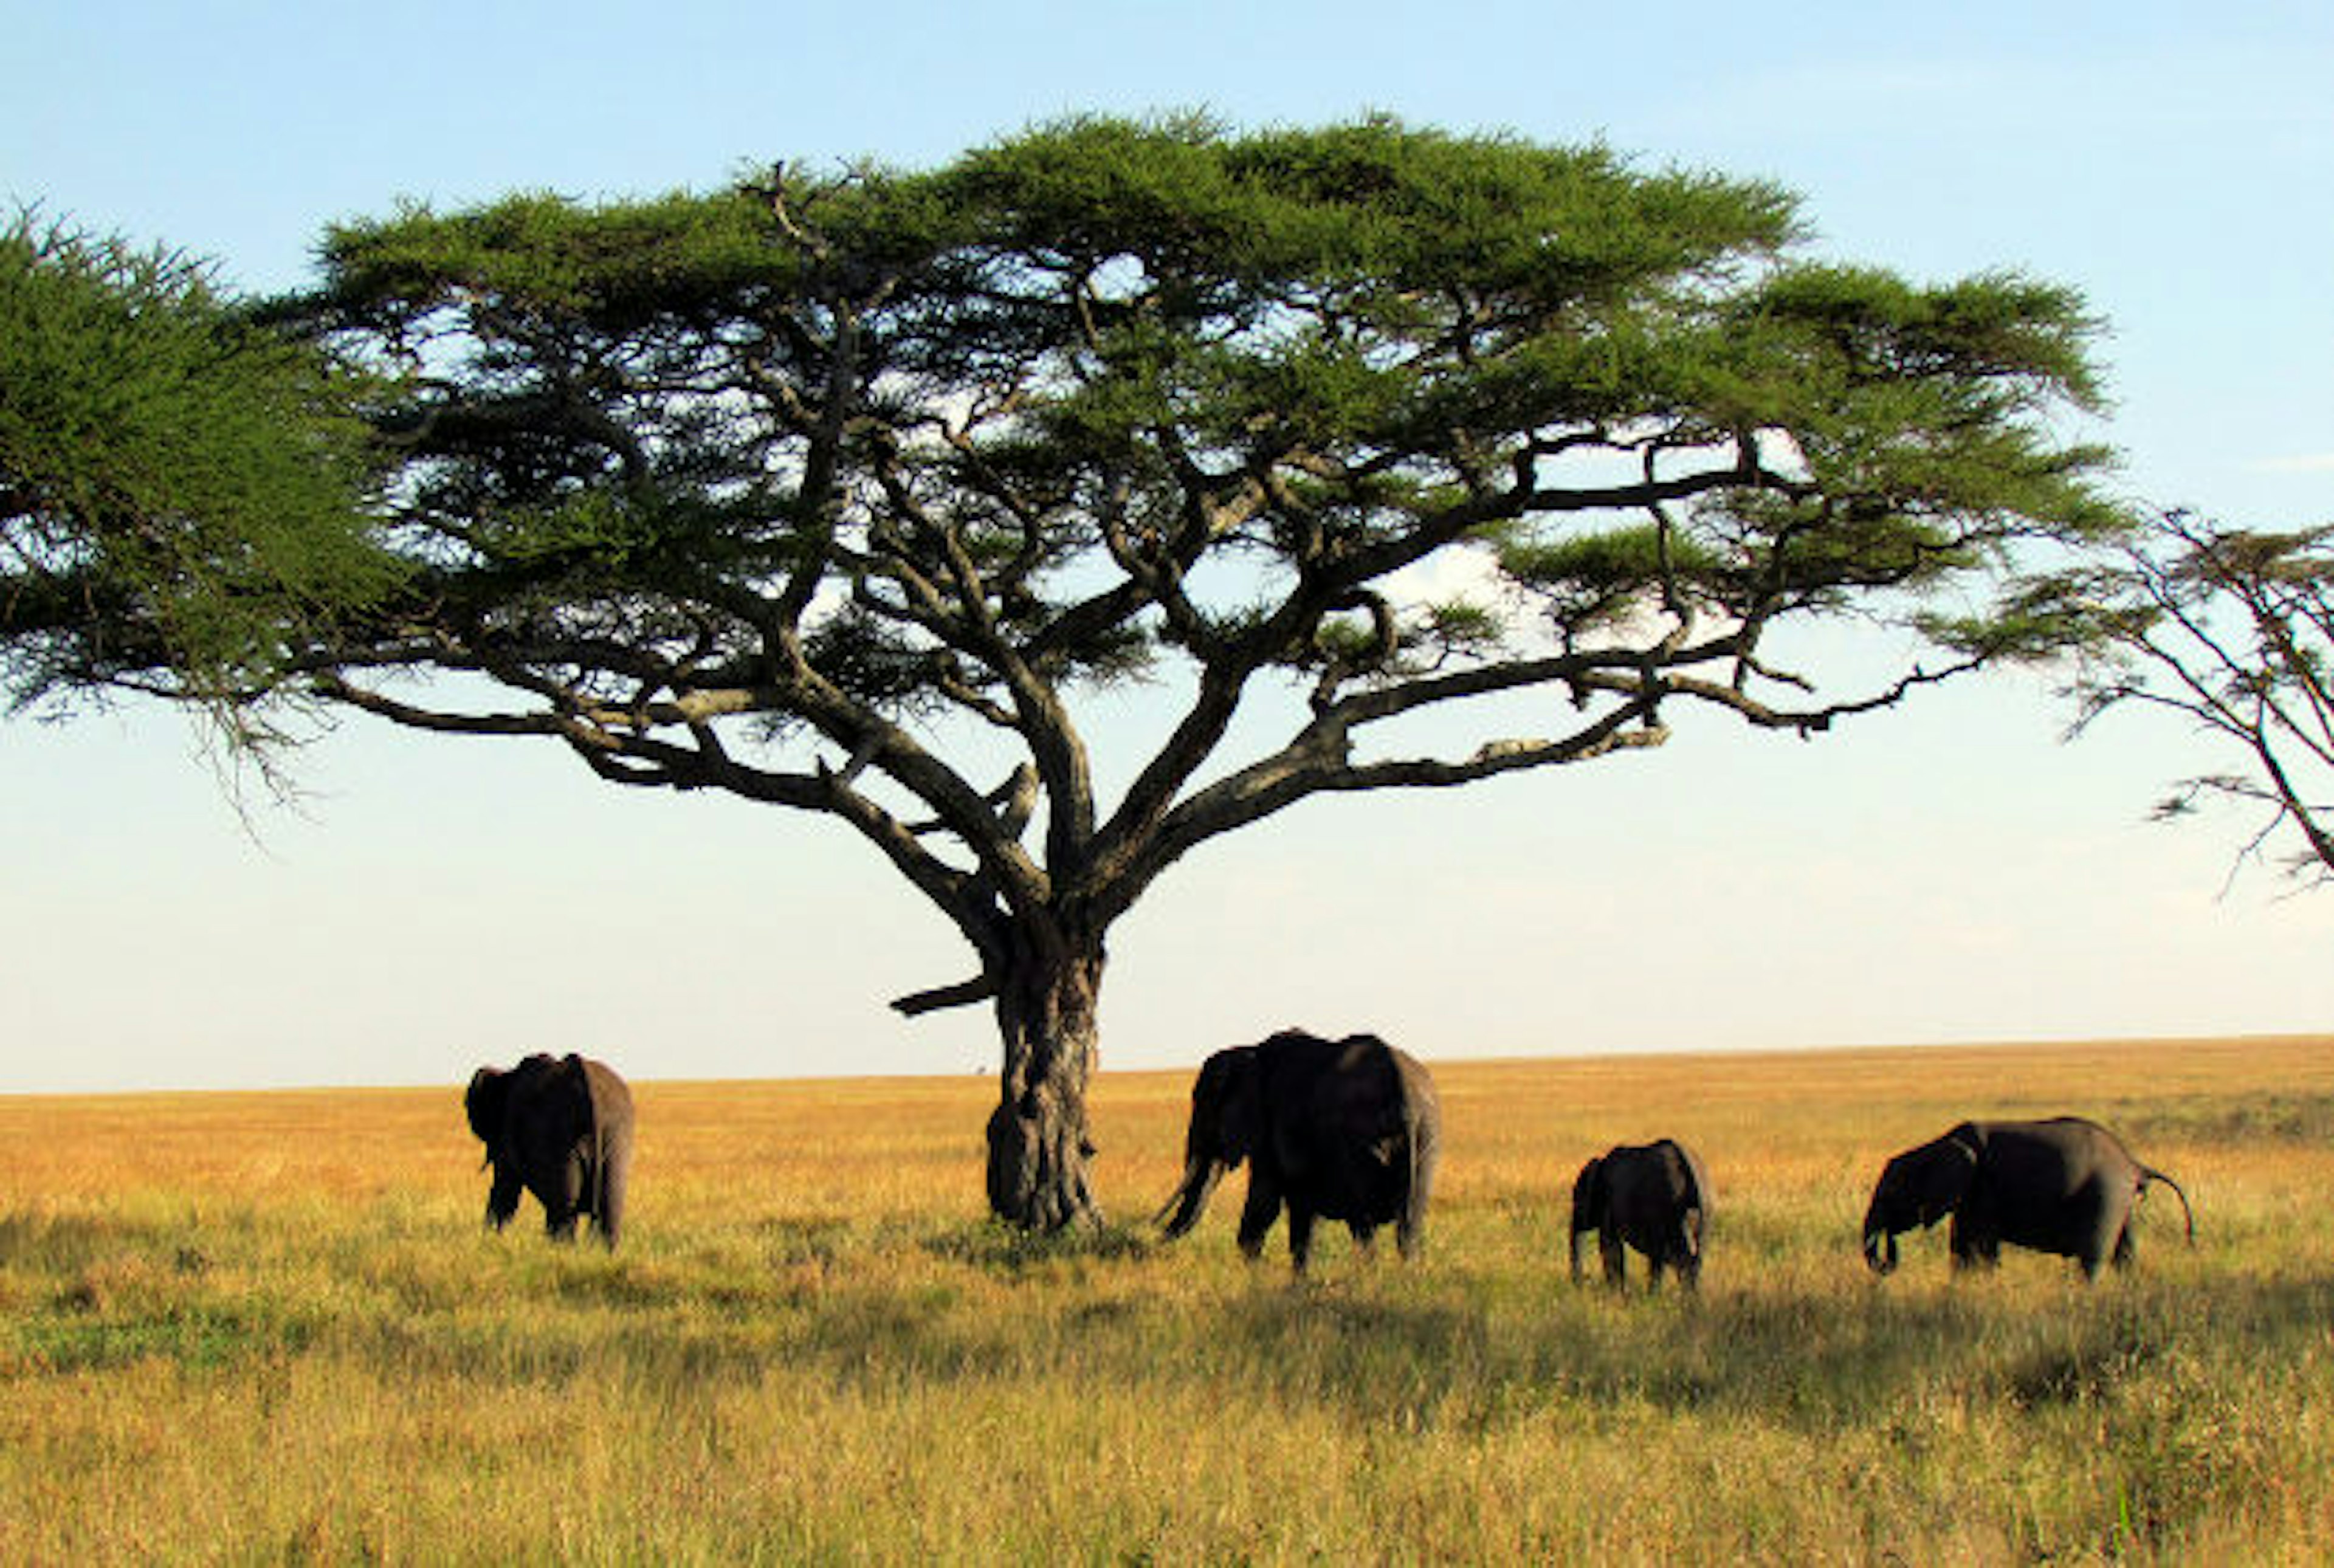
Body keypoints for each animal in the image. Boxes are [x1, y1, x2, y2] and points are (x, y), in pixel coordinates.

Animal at [462, 1054, 635, 1250]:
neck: (506, 1074)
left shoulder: (508, 1131)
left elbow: (505, 1189)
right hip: (617, 1135)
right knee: (610, 1204)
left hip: (561, 1137)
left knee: (564, 1207)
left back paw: (561, 1251)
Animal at [1152, 1026, 1428, 1269]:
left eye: (1204, 1106)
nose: (1153, 1234)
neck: (1250, 1051)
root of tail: (1406, 1096)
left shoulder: (1271, 1124)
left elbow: (1266, 1199)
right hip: (1426, 1139)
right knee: (1409, 1223)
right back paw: (1404, 1276)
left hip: (1361, 1141)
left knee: (1363, 1222)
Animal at [1568, 1133, 1718, 1288]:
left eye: (1577, 1201)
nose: (1583, 1281)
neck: (1600, 1163)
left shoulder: (1608, 1202)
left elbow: (1610, 1246)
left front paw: (1616, 1293)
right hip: (1702, 1214)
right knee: (1687, 1259)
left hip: (1669, 1207)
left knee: (1678, 1259)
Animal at [1857, 1110, 2184, 1278]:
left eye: (1890, 1193)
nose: (1890, 1252)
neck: (1936, 1146)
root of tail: (2134, 1163)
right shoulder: (1969, 1195)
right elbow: (1961, 1247)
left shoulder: (1984, 1187)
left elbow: (1980, 1248)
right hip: (2120, 1200)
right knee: (2125, 1252)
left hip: (2105, 1192)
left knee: (2094, 1255)